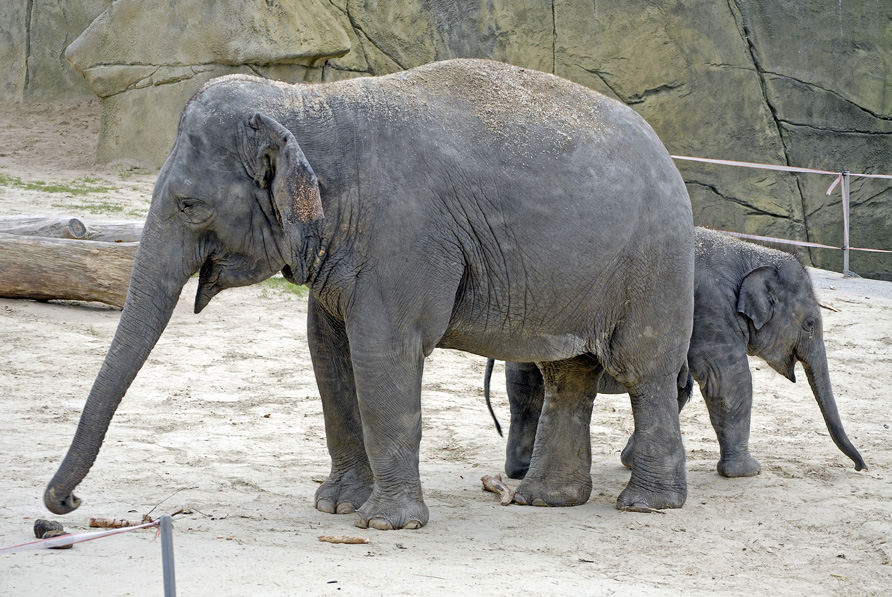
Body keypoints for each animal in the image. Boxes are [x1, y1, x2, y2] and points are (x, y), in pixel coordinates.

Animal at [43, 59, 696, 528]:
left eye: (188, 205)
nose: (67, 506)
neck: (309, 102)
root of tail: (669, 157)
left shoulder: (402, 240)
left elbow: (381, 352)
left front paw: (385, 523)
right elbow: (327, 353)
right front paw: (334, 506)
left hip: (655, 264)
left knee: (644, 370)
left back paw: (646, 505)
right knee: (569, 372)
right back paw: (548, 501)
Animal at [484, 226, 868, 478]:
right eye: (810, 324)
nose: (861, 467)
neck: (747, 251)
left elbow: (681, 388)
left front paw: (629, 460)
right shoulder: (710, 309)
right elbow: (727, 379)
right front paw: (748, 472)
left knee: (525, 388)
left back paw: (520, 471)